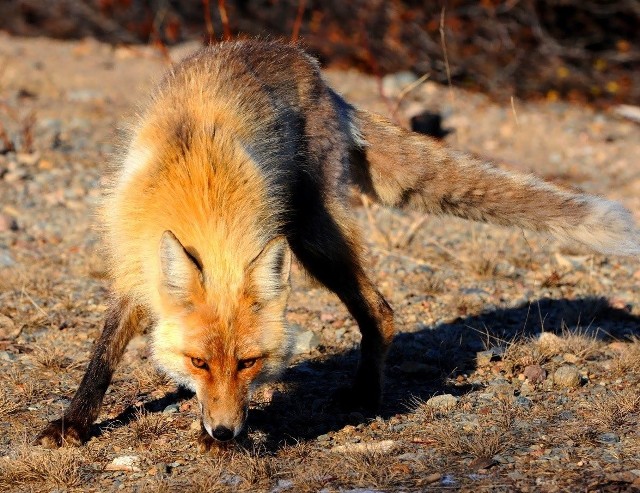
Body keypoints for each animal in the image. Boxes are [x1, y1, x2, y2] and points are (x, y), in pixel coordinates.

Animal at [36, 40, 640, 448]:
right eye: (199, 362)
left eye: (249, 363)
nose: (227, 432)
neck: (199, 192)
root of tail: (314, 70)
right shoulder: (132, 269)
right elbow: (104, 353)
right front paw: (74, 421)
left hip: (312, 235)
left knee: (382, 310)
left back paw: (367, 395)